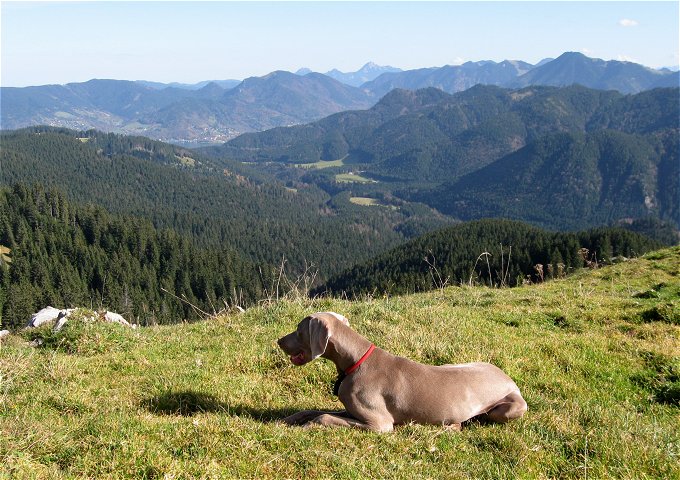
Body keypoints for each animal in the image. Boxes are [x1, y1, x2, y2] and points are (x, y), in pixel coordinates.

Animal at [276, 312, 524, 432]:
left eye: (298, 330)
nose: (278, 341)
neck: (356, 360)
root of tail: (508, 379)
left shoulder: (379, 424)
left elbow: (324, 417)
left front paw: (306, 426)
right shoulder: (352, 410)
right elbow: (312, 410)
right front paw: (288, 419)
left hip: (510, 409)